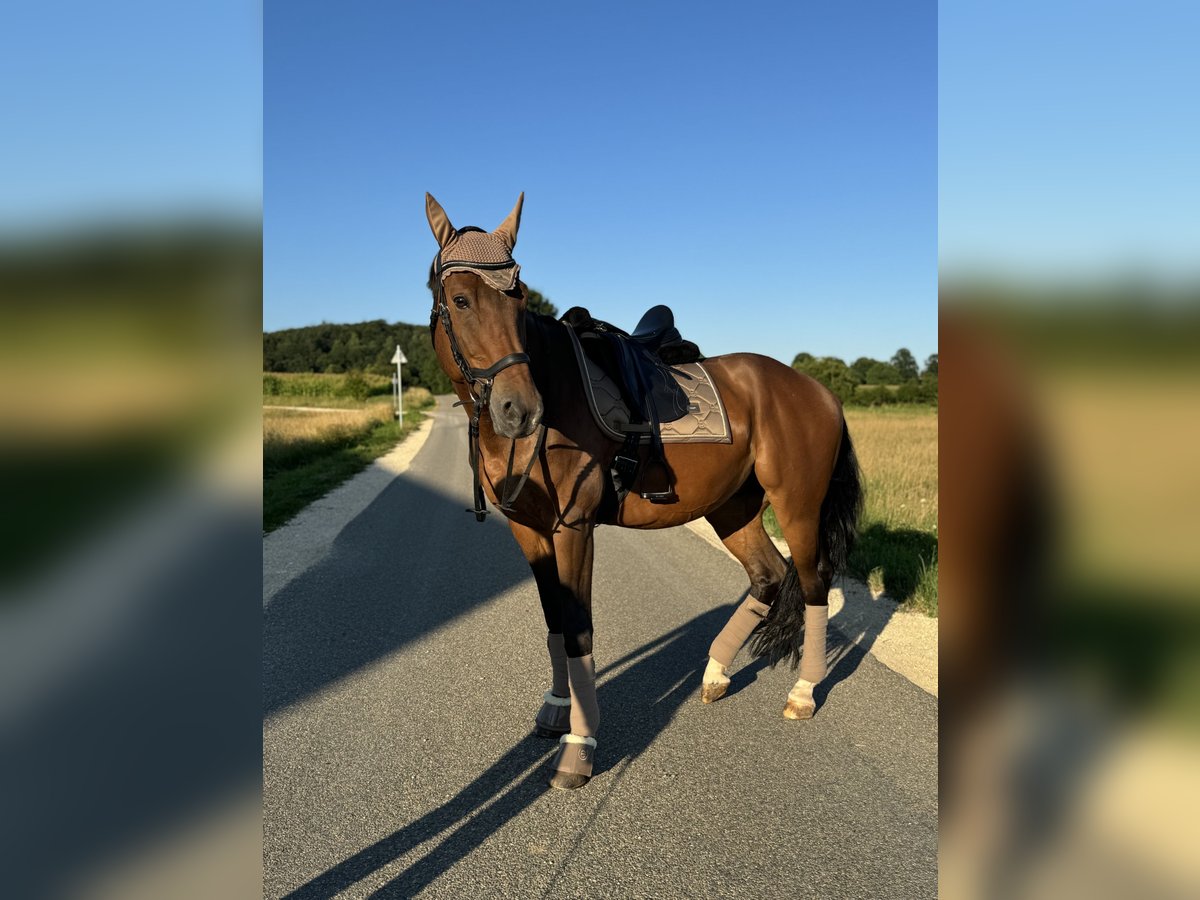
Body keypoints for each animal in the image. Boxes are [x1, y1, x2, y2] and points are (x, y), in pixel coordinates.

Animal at [422, 192, 864, 787]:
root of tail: (820, 392)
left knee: (814, 584)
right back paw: (715, 674)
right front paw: (556, 711)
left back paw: (802, 692)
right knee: (769, 576)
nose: (521, 409)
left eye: (519, 300)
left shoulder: (574, 529)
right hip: (735, 508)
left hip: (798, 506)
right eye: (461, 299)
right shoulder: (529, 531)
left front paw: (578, 748)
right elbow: (554, 621)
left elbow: (579, 630)